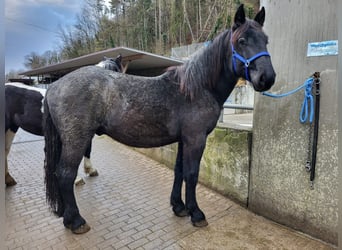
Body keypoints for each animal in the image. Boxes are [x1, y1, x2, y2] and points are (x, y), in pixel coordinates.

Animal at [44, 4, 276, 233]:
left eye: (266, 40)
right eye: (242, 41)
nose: (267, 78)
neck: (196, 89)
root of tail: (55, 86)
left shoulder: (184, 140)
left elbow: (179, 171)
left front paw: (179, 207)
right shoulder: (196, 139)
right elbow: (192, 174)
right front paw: (196, 213)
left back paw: (68, 219)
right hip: (77, 140)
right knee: (65, 174)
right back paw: (76, 221)